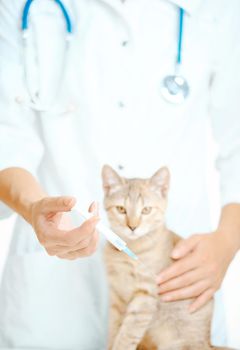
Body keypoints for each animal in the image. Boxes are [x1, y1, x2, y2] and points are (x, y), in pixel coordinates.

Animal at [101, 165, 232, 350]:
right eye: (121, 209)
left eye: (146, 210)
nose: (132, 227)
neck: (131, 250)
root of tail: (208, 343)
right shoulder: (116, 296)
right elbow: (114, 329)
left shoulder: (146, 296)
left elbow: (127, 333)